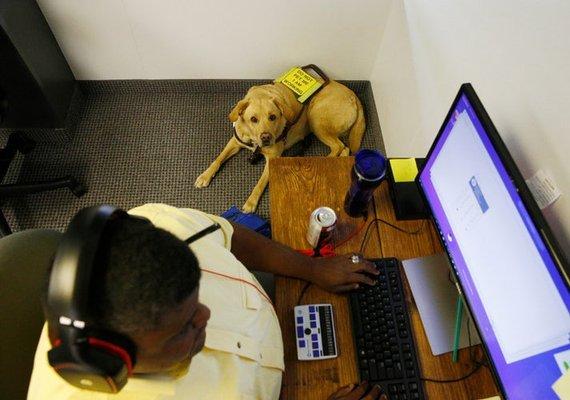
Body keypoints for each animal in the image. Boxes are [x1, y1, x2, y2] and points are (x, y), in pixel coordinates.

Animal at [194, 79, 364, 214]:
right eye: (253, 119)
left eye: (272, 117)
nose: (266, 137)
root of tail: (353, 95)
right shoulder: (235, 142)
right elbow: (218, 158)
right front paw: (205, 175)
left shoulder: (272, 159)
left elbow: (260, 184)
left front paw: (251, 202)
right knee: (345, 148)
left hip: (315, 117)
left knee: (338, 146)